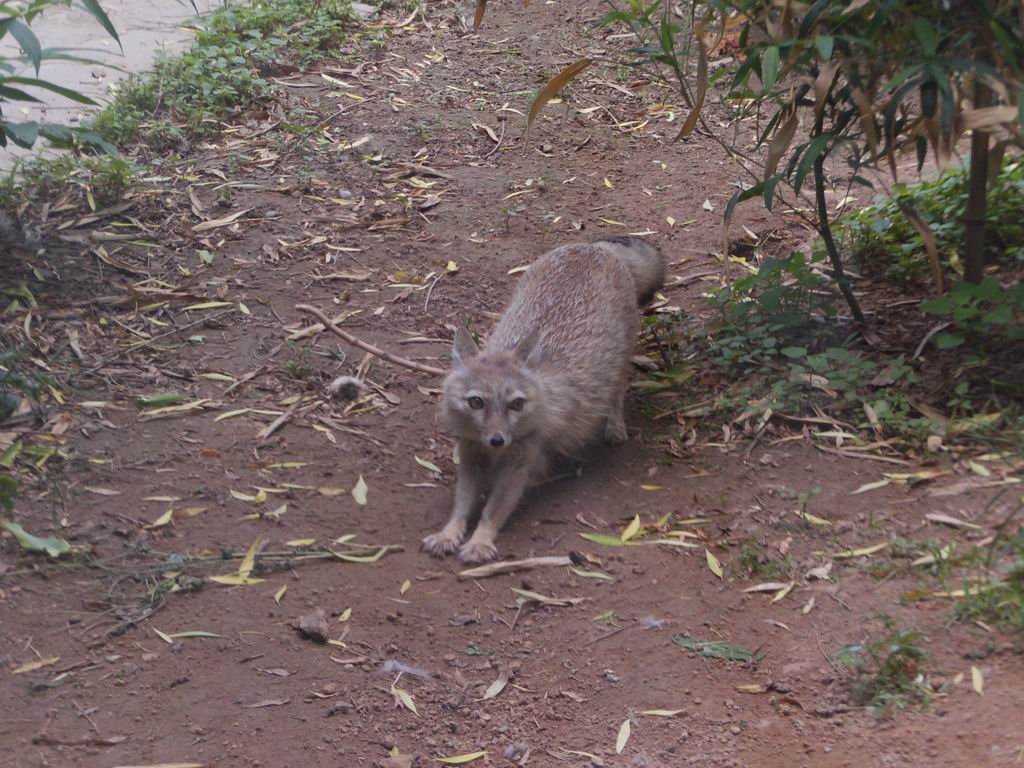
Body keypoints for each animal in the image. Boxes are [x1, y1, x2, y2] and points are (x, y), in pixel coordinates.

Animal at [421, 237, 667, 569]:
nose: (497, 440)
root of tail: (592, 246)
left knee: (617, 391)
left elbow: (492, 511)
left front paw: (480, 541)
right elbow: (462, 505)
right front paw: (448, 534)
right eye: (476, 402)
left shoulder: (519, 464)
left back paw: (615, 426)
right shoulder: (471, 454)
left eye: (516, 404)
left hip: (619, 362)